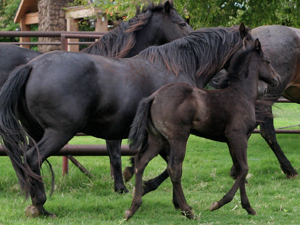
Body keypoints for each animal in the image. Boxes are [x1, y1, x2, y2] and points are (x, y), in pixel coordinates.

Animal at [0, 22, 251, 216]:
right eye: (181, 23)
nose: (221, 81)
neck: (178, 67)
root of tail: (31, 66)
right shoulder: (172, 135)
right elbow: (170, 167)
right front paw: (160, 194)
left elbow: (161, 165)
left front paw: (170, 199)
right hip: (59, 132)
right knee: (33, 158)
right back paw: (40, 206)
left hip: (36, 132)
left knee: (28, 161)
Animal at [125, 37, 280, 219]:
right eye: (267, 61)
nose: (276, 78)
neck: (241, 94)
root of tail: (154, 97)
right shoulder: (238, 136)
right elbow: (244, 169)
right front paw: (218, 203)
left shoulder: (231, 141)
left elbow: (239, 168)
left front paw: (248, 207)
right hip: (178, 138)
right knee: (174, 169)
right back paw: (187, 210)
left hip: (158, 139)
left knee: (141, 162)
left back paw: (132, 208)